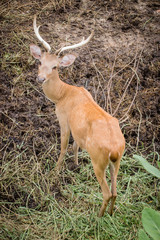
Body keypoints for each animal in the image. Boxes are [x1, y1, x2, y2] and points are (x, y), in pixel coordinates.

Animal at [30, 15, 125, 217]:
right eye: (40, 62)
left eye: (55, 66)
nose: (40, 78)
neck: (62, 95)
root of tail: (114, 149)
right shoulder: (78, 130)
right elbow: (75, 146)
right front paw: (75, 165)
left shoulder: (64, 120)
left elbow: (64, 147)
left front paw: (56, 171)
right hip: (118, 161)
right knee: (115, 191)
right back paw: (111, 213)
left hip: (98, 160)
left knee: (107, 192)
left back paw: (98, 216)